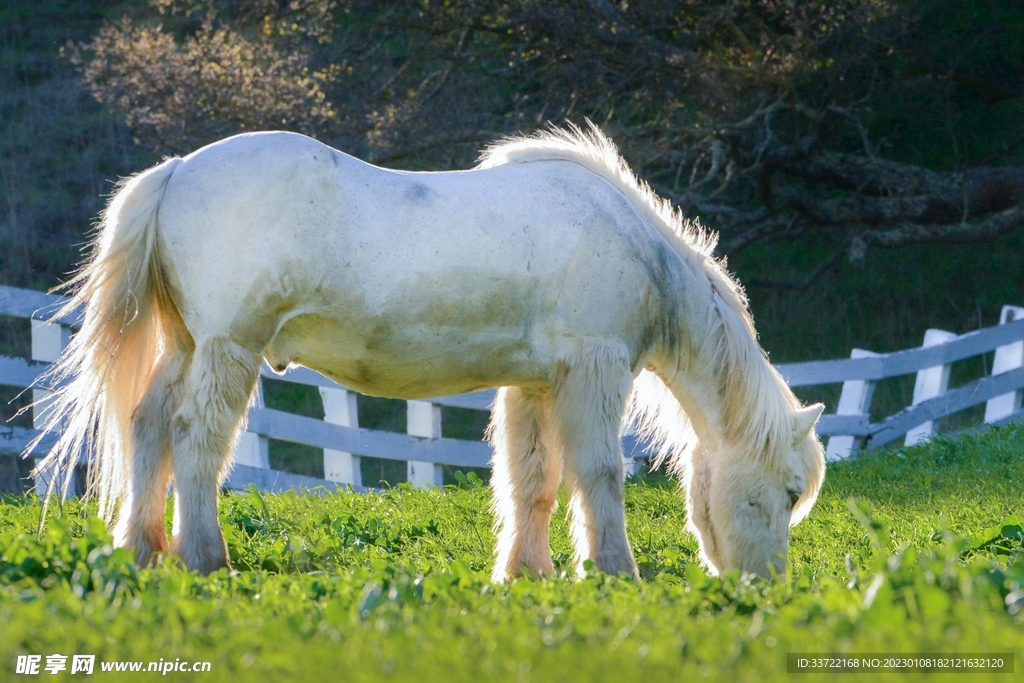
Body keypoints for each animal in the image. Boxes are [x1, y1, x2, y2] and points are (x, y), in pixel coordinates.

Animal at [33, 122, 825, 579]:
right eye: (789, 491)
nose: (766, 590)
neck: (630, 242)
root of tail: (175, 172)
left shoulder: (537, 384)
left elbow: (532, 479)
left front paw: (527, 575)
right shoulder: (592, 372)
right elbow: (599, 474)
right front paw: (613, 572)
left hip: (188, 346)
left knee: (147, 426)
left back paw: (140, 552)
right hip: (229, 349)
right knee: (195, 438)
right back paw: (204, 559)